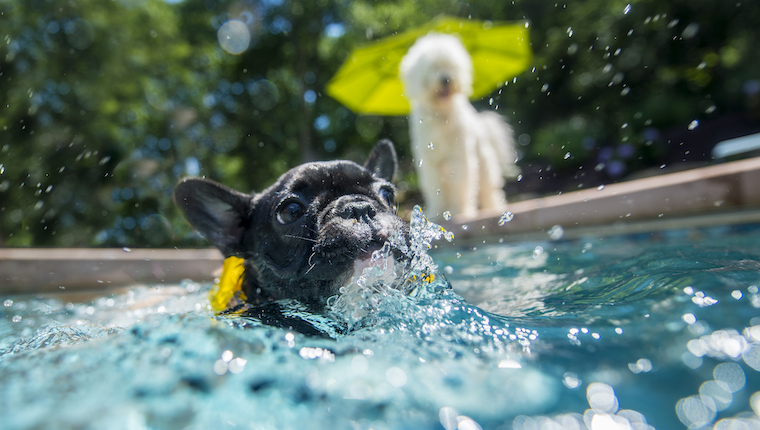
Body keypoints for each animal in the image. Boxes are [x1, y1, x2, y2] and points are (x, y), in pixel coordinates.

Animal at [398, 32, 516, 218]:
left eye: (451, 66)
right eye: (433, 67)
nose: (446, 79)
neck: (441, 116)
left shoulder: (459, 159)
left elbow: (461, 187)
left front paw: (459, 211)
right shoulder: (431, 163)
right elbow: (435, 189)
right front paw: (437, 212)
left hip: (483, 164)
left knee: (489, 189)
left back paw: (494, 208)